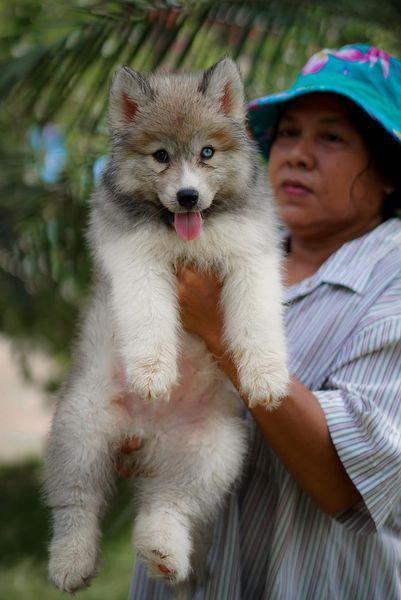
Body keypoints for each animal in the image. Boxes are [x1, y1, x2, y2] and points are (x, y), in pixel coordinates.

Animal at [43, 58, 288, 592]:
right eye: (160, 156)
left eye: (207, 152)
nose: (188, 195)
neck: (188, 235)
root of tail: (146, 436)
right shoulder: (137, 260)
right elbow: (150, 315)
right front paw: (154, 373)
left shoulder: (251, 257)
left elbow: (257, 320)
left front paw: (266, 379)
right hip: (80, 426)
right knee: (76, 504)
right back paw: (71, 561)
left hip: (211, 454)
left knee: (168, 505)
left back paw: (164, 554)